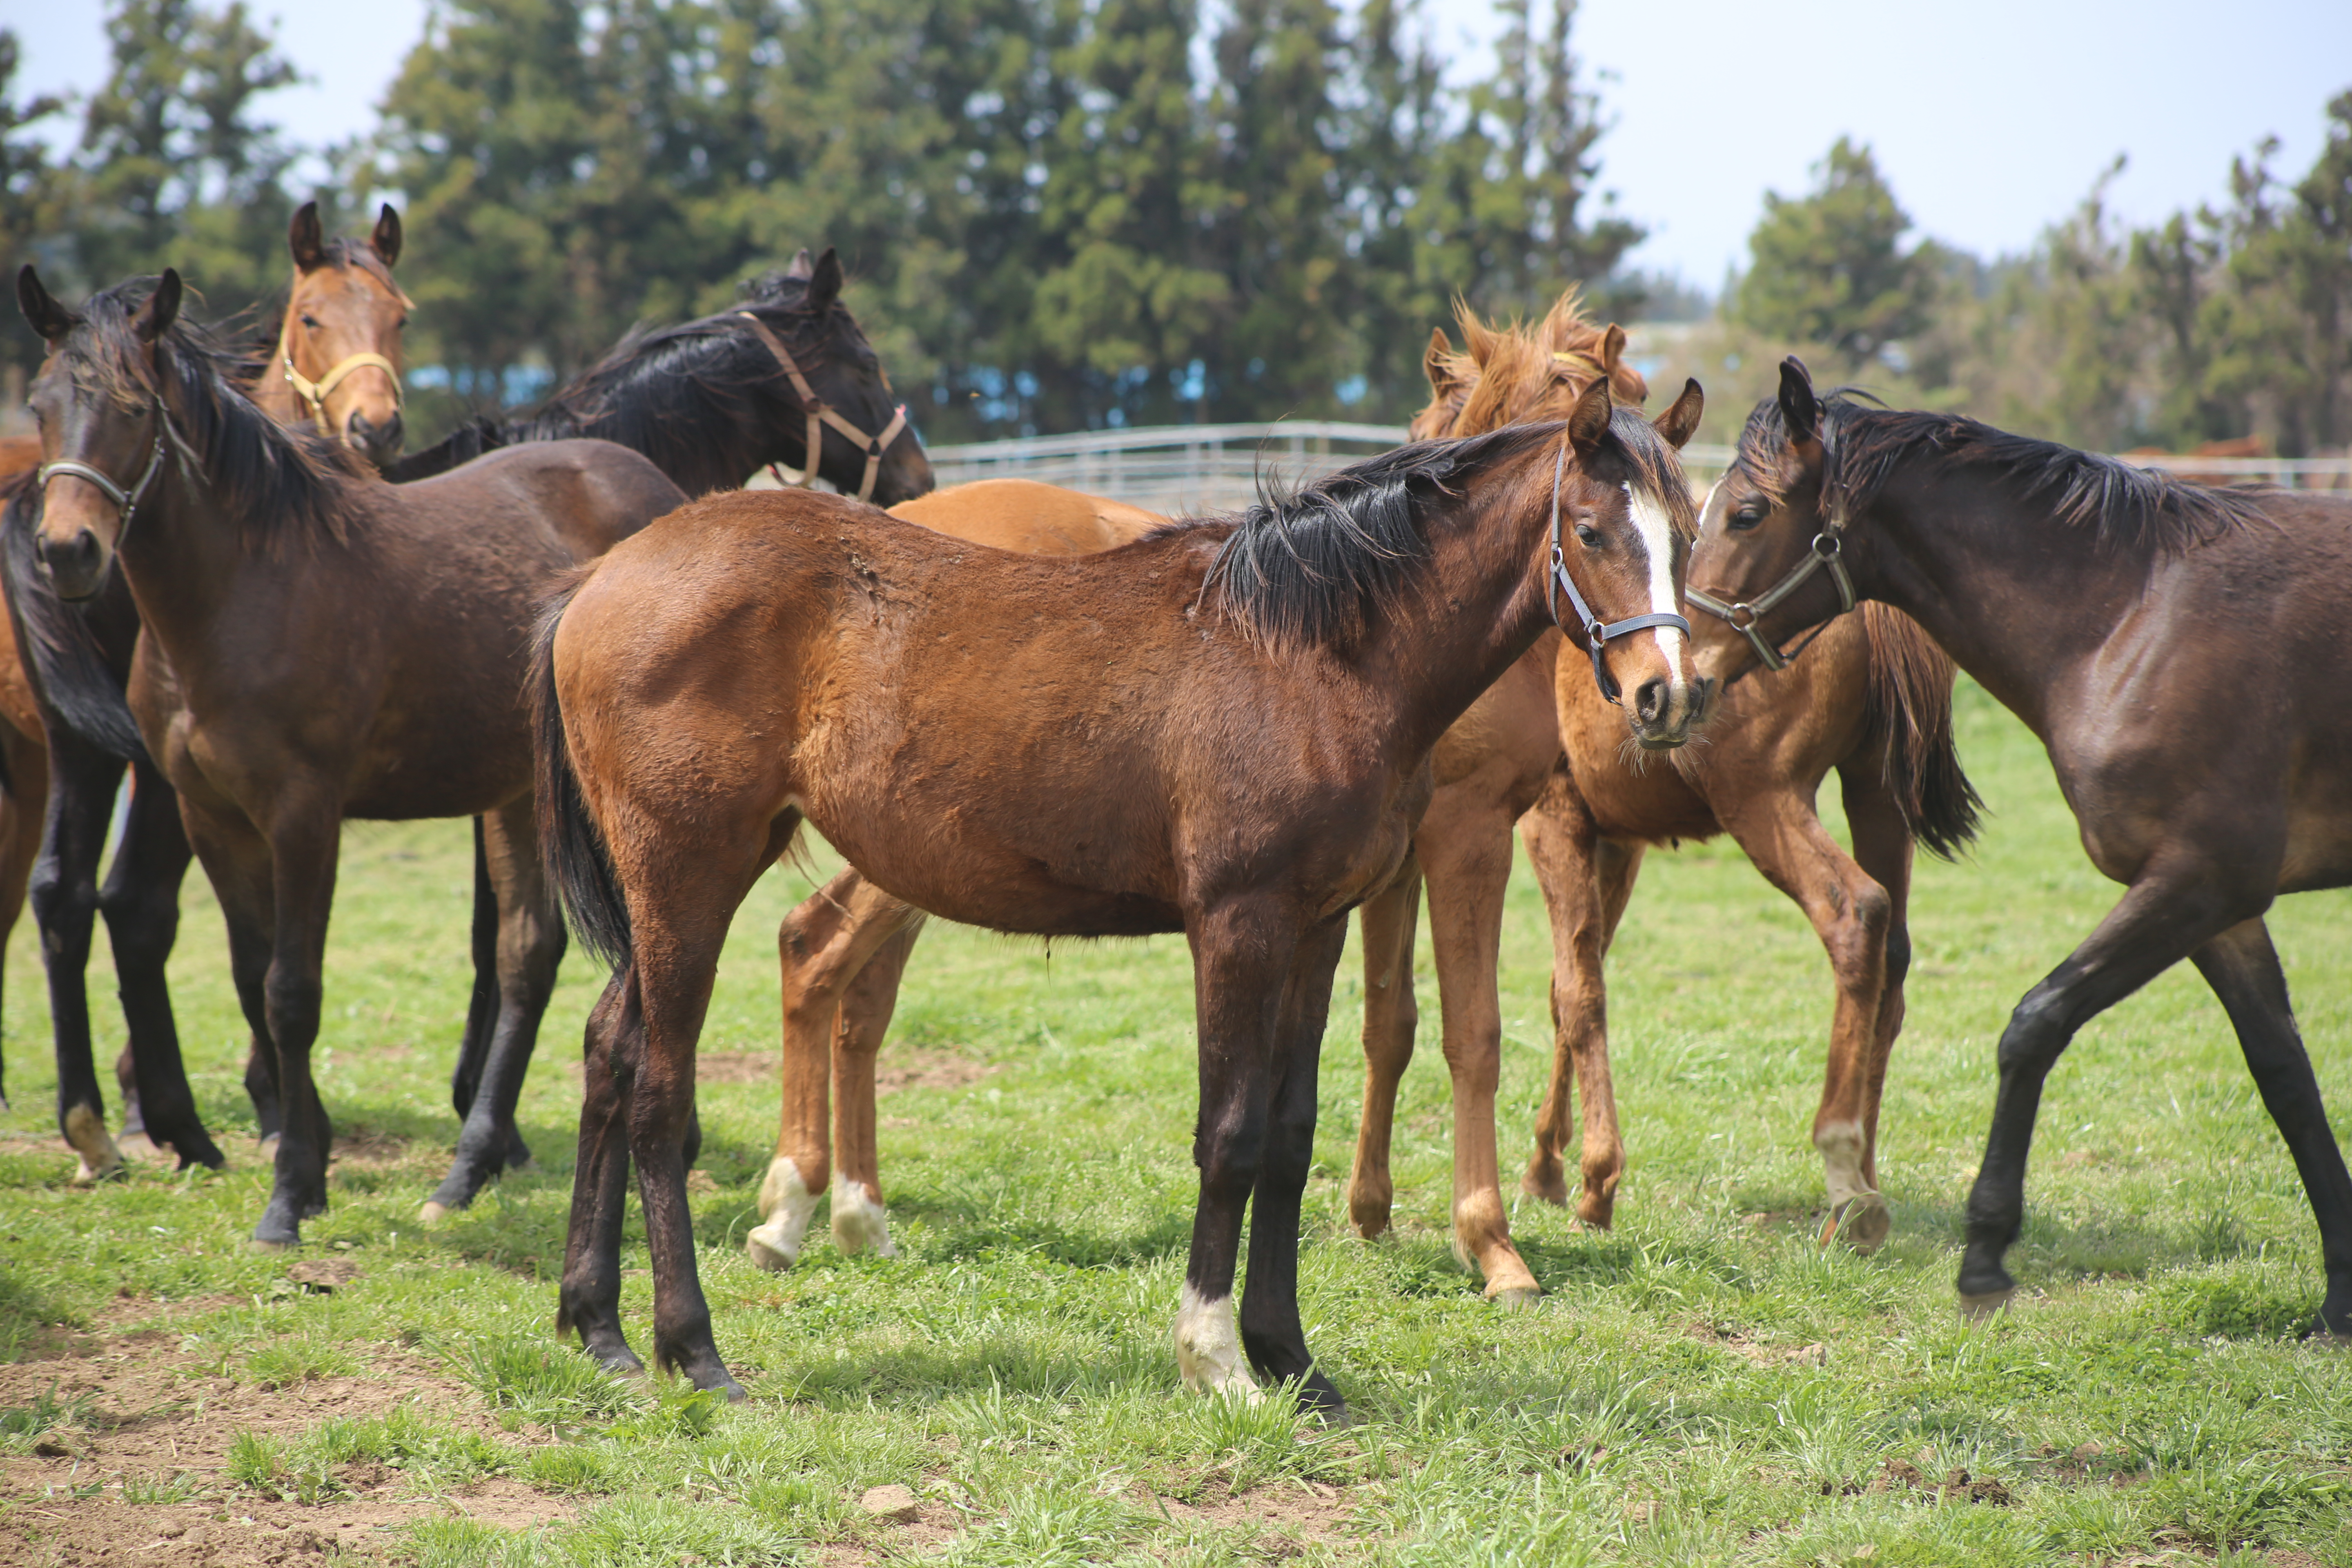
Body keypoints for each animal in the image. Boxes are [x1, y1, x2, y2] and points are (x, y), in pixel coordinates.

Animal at [18, 272, 686, 1250]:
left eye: (136, 409)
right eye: (39, 405)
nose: (68, 552)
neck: (240, 593)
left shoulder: (304, 816)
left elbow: (293, 994)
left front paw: (291, 1193)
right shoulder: (212, 817)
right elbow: (252, 982)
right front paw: (309, 1162)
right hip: (519, 792)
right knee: (528, 956)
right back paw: (465, 1173)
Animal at [539, 383, 1703, 1410]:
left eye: (1688, 534)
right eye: (1591, 530)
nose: (1667, 697)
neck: (1309, 653)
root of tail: (598, 580)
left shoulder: (1316, 928)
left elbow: (1289, 1135)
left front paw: (1293, 1362)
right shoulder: (1237, 925)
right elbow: (1229, 1135)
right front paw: (1214, 1358)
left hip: (673, 897)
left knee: (608, 1049)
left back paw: (599, 1333)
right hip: (690, 876)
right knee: (659, 1091)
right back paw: (693, 1352)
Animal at [1693, 359, 2352, 1335]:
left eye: (1744, 514)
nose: (1663, 683)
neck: (2131, 618)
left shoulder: (2200, 878)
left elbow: (2033, 1024)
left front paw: (1984, 1256)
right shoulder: (2225, 907)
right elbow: (2287, 1079)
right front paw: (2340, 1296)